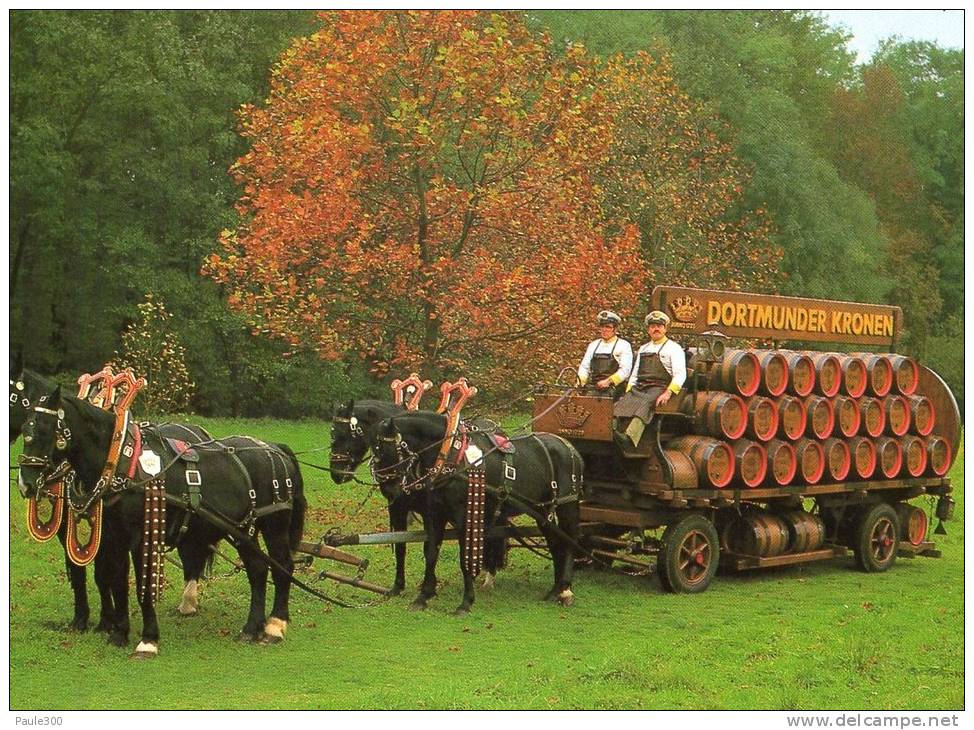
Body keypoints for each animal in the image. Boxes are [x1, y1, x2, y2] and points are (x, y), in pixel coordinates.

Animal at [20, 386, 308, 656]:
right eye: (24, 429)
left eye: (44, 429)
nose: (26, 483)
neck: (121, 461)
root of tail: (276, 448)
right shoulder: (113, 537)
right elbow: (117, 583)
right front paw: (118, 633)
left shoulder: (141, 538)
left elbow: (141, 586)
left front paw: (148, 640)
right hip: (242, 529)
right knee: (258, 570)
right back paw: (251, 628)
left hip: (274, 526)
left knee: (282, 567)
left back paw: (274, 626)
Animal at [374, 410, 588, 616]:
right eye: (375, 451)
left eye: (386, 450)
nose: (391, 491)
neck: (452, 455)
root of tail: (570, 447)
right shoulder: (435, 515)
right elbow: (431, 554)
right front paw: (423, 597)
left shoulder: (464, 517)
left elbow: (465, 558)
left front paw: (466, 603)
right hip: (542, 510)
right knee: (556, 543)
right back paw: (555, 589)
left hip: (566, 504)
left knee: (570, 541)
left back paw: (565, 590)